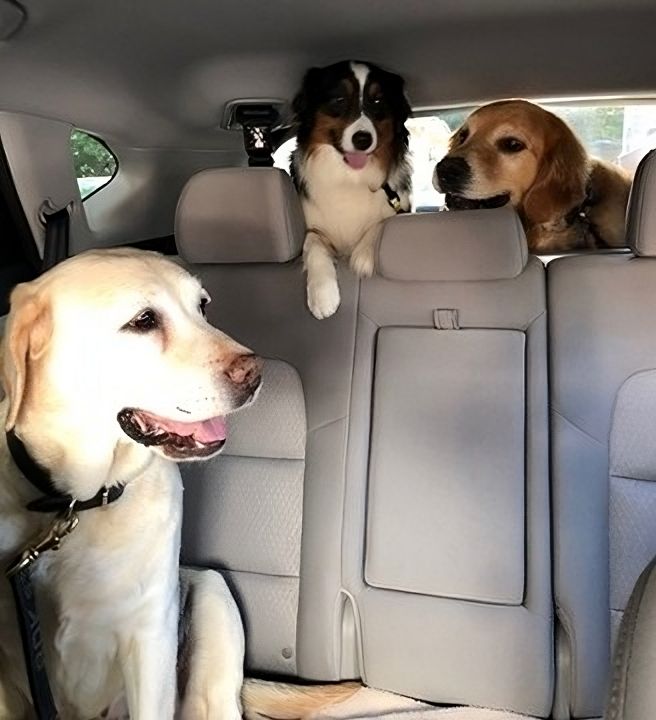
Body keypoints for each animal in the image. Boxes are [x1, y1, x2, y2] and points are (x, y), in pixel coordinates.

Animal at [0, 249, 262, 720]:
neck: (75, 505)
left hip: (212, 596)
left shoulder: (149, 640)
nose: (254, 373)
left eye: (202, 306)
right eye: (143, 320)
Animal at [290, 60, 410, 320]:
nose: (363, 140)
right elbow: (313, 244)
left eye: (378, 101)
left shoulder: (399, 207)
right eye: (339, 99)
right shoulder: (313, 226)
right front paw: (323, 296)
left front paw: (363, 256)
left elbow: (382, 223)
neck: (350, 177)